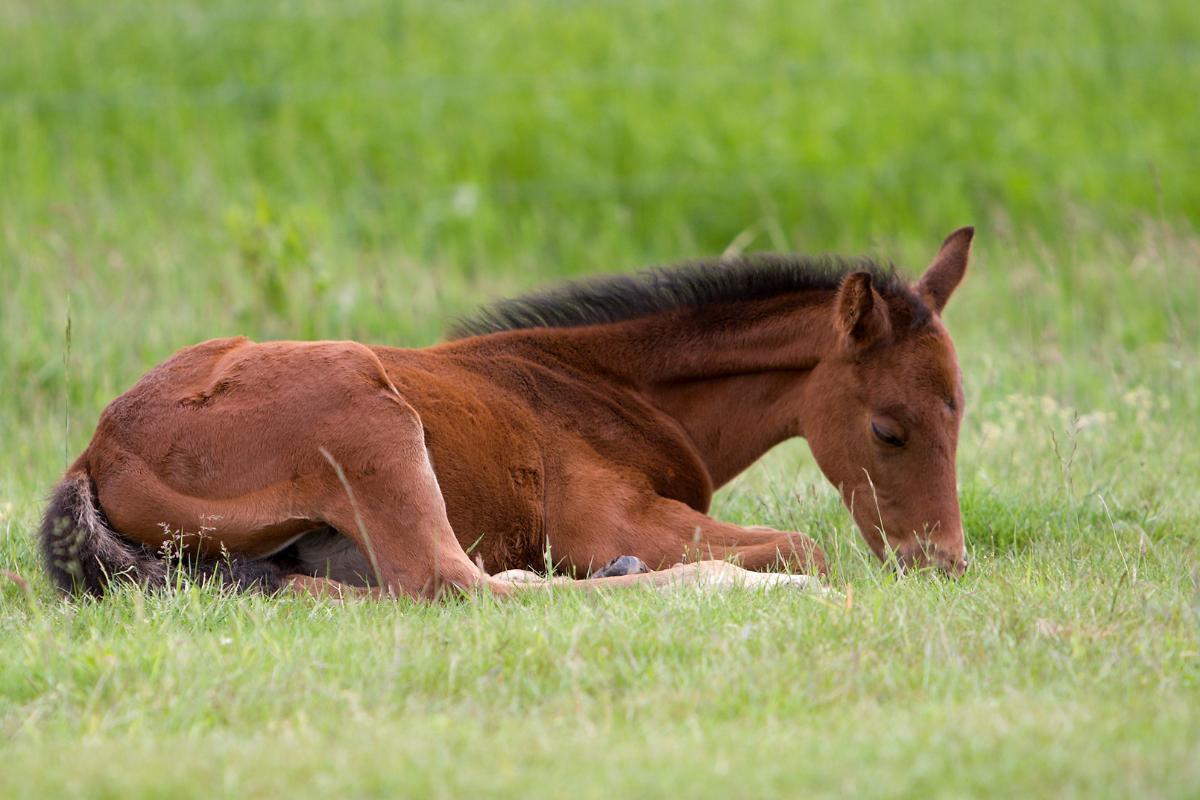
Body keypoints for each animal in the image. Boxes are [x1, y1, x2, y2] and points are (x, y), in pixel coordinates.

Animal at [42, 225, 974, 599]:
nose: (944, 562)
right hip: (373, 419)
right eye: (889, 429)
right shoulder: (609, 517)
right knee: (457, 587)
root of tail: (98, 451)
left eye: (962, 416)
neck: (610, 383)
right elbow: (804, 545)